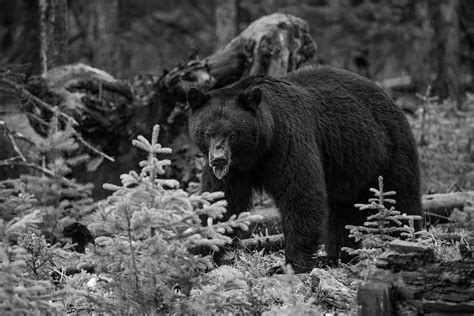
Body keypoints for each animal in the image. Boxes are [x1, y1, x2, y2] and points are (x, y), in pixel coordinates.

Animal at [187, 65, 420, 272]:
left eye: (233, 134)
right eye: (207, 133)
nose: (218, 160)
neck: (257, 152)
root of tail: (392, 99)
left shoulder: (287, 140)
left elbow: (300, 193)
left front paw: (288, 265)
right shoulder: (235, 171)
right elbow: (220, 201)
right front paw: (201, 253)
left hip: (387, 152)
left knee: (400, 200)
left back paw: (406, 241)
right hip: (350, 164)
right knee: (343, 210)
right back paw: (336, 256)